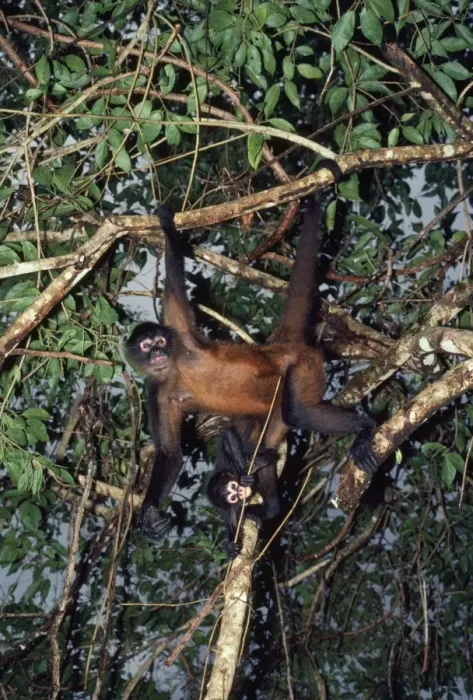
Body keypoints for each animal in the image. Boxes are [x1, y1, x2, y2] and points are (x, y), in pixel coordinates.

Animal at [125, 181, 378, 542]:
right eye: (146, 346)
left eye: (160, 342)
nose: (157, 353)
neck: (173, 369)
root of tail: (277, 348)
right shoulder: (156, 389)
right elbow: (171, 452)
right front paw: (149, 515)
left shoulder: (180, 336)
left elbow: (174, 284)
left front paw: (167, 227)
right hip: (270, 416)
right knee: (261, 438)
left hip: (303, 366)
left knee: (298, 411)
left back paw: (366, 427)